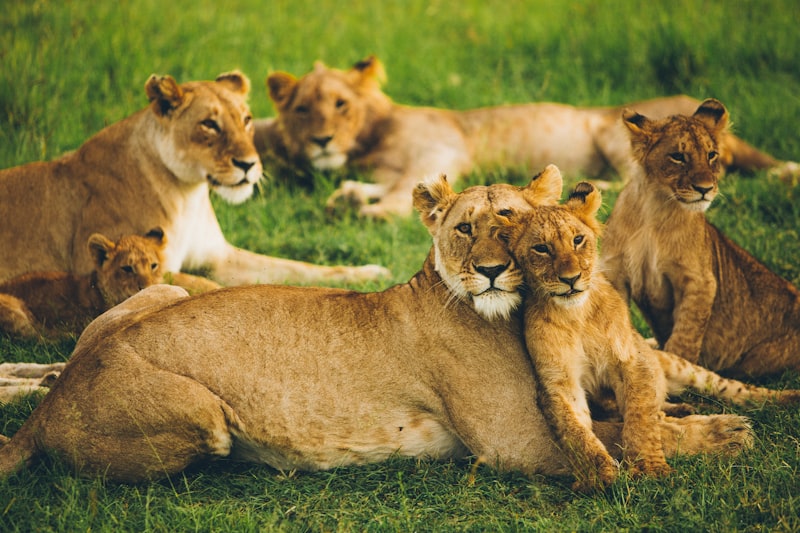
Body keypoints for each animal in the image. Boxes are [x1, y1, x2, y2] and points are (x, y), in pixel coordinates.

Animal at [0, 71, 389, 287]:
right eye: (209, 124)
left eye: (247, 119)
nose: (249, 164)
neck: (188, 194)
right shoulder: (126, 266)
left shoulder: (220, 257)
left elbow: (298, 268)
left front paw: (369, 273)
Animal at [0, 172, 753, 484]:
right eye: (465, 229)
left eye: (510, 221)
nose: (488, 271)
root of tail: (48, 410)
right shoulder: (515, 443)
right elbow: (611, 437)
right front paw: (725, 431)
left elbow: (631, 414)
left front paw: (683, 411)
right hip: (205, 415)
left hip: (158, 287)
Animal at [254, 55, 799, 219]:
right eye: (302, 109)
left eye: (340, 105)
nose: (322, 140)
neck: (369, 140)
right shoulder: (395, 168)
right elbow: (386, 186)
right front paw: (348, 196)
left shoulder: (440, 150)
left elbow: (400, 195)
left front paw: (367, 211)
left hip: (613, 131)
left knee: (636, 181)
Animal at [502, 169, 800, 492]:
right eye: (541, 249)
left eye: (578, 240)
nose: (571, 279)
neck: (576, 315)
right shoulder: (558, 383)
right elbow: (576, 432)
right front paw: (597, 476)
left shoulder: (632, 360)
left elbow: (640, 417)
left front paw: (649, 467)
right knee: (660, 407)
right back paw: (684, 409)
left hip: (681, 365)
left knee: (734, 389)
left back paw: (786, 398)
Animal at [601, 98, 800, 378]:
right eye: (678, 156)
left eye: (711, 155)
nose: (705, 189)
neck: (654, 209)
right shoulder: (615, 272)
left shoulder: (700, 280)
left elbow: (685, 336)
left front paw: (678, 372)